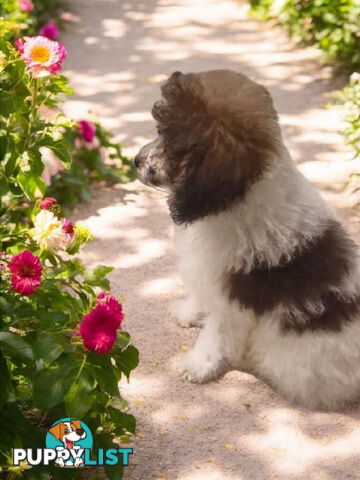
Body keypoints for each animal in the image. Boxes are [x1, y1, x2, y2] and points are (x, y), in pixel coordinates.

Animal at [134, 69, 360, 410]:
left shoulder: (231, 301)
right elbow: (200, 301)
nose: (135, 160)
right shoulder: (208, 277)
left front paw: (198, 365)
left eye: (168, 140)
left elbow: (216, 334)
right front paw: (187, 313)